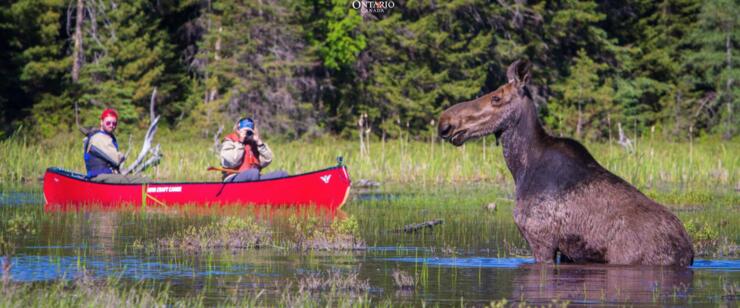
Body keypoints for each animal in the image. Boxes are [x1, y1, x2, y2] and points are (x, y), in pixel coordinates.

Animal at [440, 60, 692, 268]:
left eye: (496, 98)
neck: (520, 168)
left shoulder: (540, 239)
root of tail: (689, 254)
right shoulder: (568, 251)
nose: (446, 122)